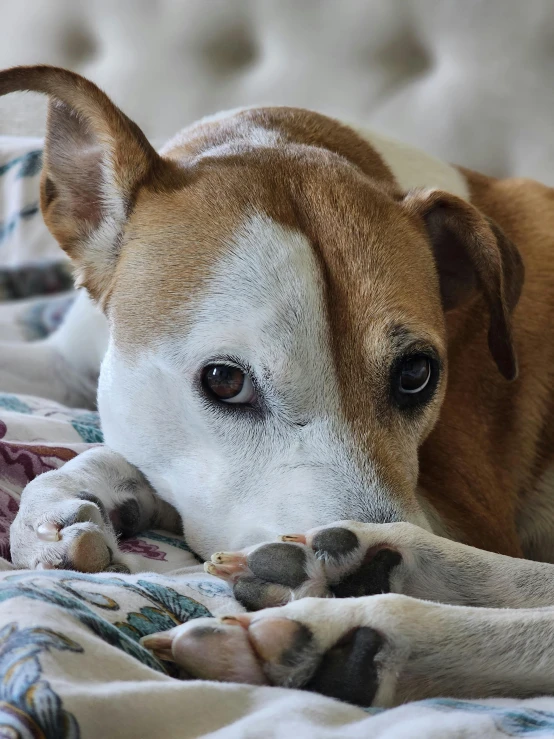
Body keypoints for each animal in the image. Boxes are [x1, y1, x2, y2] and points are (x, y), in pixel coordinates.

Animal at [1, 65, 552, 712]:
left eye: (417, 374)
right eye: (225, 380)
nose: (354, 591)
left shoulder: (472, 517)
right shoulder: (67, 360)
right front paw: (62, 509)